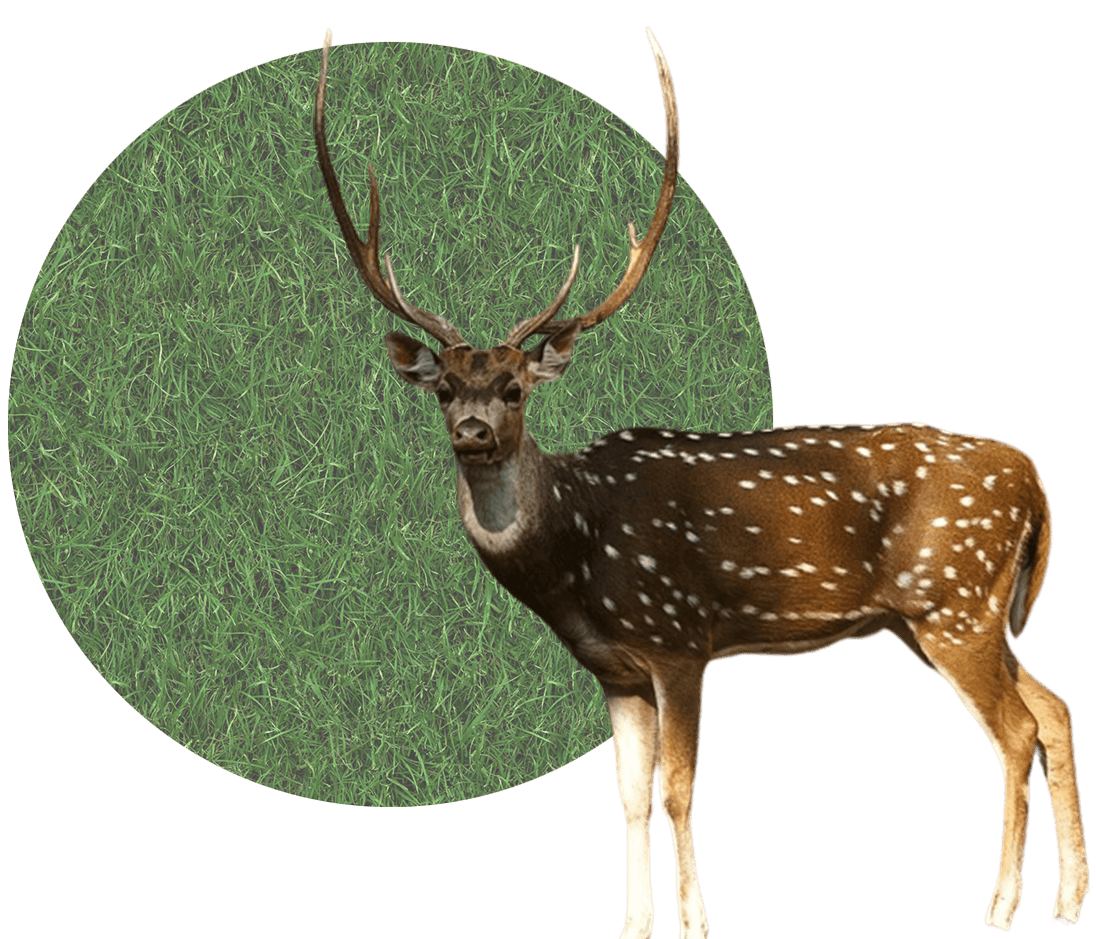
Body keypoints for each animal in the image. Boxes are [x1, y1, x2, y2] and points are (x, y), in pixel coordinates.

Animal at [313, 26, 1087, 937]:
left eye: (514, 388)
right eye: (443, 389)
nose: (474, 431)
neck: (576, 555)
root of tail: (1033, 478)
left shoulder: (680, 637)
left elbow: (676, 789)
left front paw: (693, 922)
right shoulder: (614, 669)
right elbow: (627, 796)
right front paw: (633, 924)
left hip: (953, 601)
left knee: (1017, 731)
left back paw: (1001, 907)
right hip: (943, 617)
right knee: (1055, 707)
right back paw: (1069, 900)